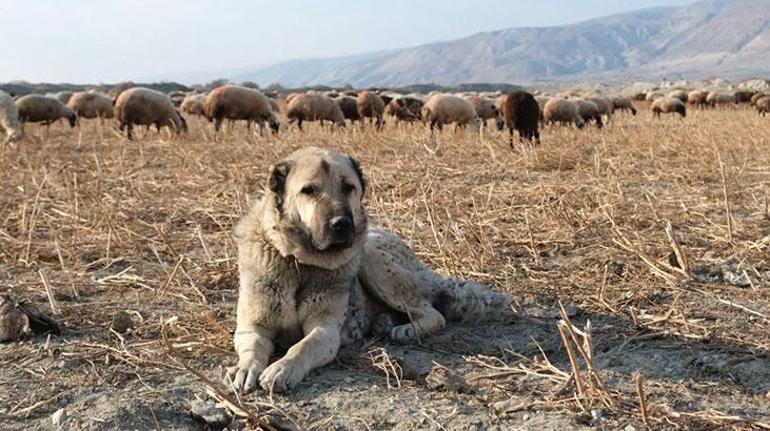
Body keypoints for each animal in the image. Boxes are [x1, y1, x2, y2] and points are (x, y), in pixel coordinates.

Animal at [224, 148, 510, 394]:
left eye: (348, 188)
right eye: (309, 190)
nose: (341, 223)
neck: (299, 263)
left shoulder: (325, 330)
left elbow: (302, 347)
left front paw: (283, 367)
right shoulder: (253, 326)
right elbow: (252, 348)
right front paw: (245, 368)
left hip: (373, 258)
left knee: (434, 313)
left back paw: (406, 330)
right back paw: (385, 322)